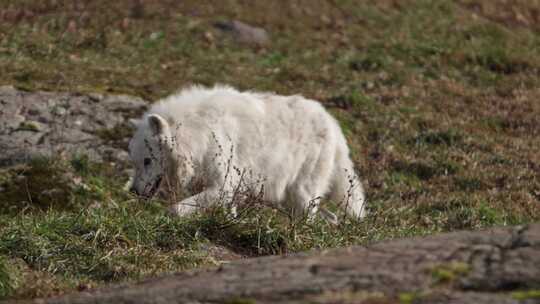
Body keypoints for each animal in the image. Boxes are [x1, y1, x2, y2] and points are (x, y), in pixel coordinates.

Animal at [130, 85, 368, 221]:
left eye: (147, 161)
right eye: (136, 163)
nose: (133, 191)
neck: (198, 129)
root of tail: (333, 123)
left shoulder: (224, 184)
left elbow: (176, 209)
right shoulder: (226, 187)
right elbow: (228, 211)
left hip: (303, 193)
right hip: (289, 197)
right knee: (330, 217)